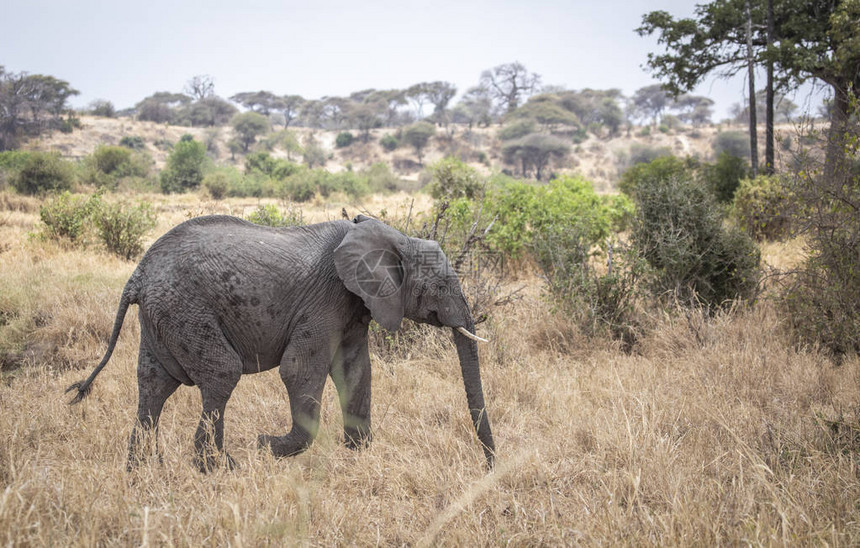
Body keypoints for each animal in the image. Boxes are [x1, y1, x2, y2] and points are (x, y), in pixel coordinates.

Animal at [65, 214, 498, 470]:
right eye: (440, 285)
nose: (488, 467)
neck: (393, 237)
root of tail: (137, 275)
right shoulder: (325, 299)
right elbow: (300, 370)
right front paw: (267, 446)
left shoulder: (355, 304)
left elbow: (356, 370)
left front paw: (357, 453)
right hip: (185, 309)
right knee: (221, 374)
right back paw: (221, 467)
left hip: (162, 316)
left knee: (153, 383)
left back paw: (140, 471)